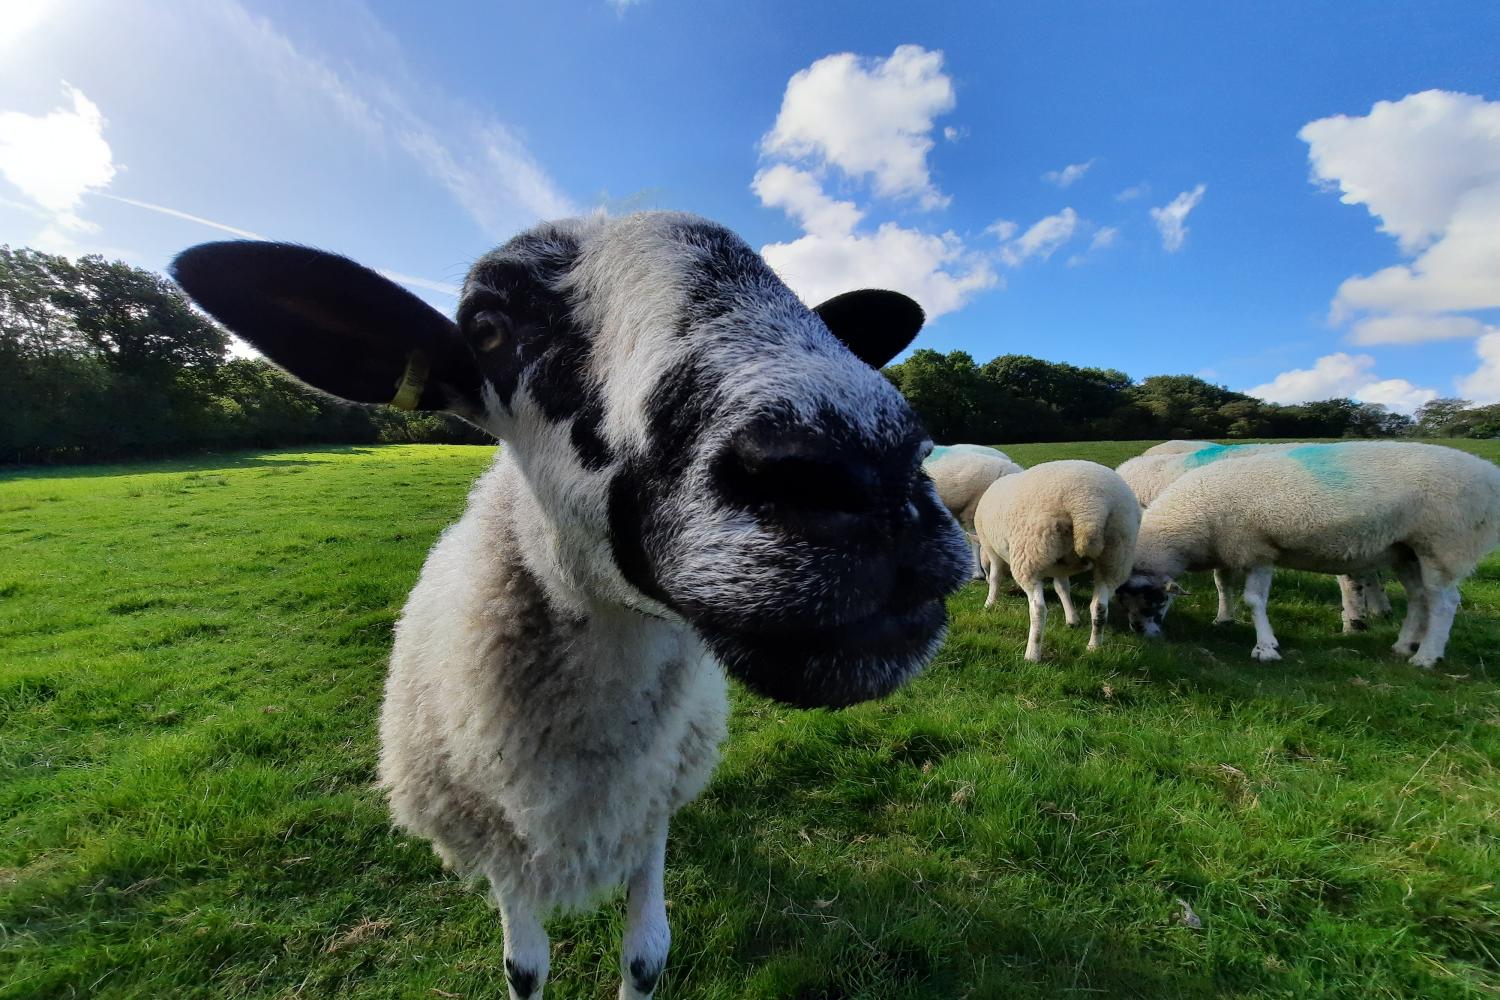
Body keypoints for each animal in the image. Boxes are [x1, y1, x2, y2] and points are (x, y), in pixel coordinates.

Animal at [172, 212, 972, 1000]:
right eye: (485, 327)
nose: (868, 466)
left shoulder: (648, 804)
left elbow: (647, 955)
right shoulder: (499, 833)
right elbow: (525, 969)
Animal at [972, 461, 1134, 665]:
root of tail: (1089, 506)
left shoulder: (992, 550)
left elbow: (995, 578)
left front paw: (989, 603)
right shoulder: (1061, 566)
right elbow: (1062, 588)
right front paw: (1072, 618)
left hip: (1029, 554)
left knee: (1038, 609)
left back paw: (1032, 654)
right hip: (1115, 556)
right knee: (1099, 607)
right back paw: (1093, 648)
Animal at [1116, 440, 1392, 629]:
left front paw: (1224, 617)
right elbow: (1223, 580)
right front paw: (1225, 617)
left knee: (1351, 580)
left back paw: (1355, 620)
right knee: (1370, 572)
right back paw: (1380, 610)